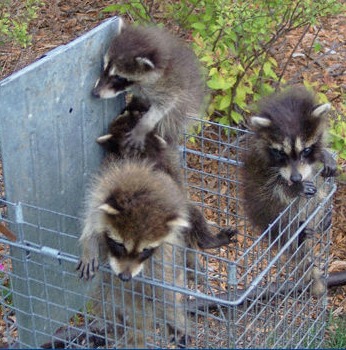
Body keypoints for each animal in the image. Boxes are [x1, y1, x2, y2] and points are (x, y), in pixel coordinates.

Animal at [91, 18, 205, 149]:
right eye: (104, 67)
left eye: (119, 77)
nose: (95, 93)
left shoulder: (170, 86)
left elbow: (163, 106)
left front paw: (143, 126)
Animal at [242, 85, 336, 296]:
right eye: (280, 153)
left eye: (306, 150)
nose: (295, 179)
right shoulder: (259, 167)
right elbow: (271, 189)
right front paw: (292, 189)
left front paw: (324, 155)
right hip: (269, 216)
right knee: (283, 219)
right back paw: (297, 235)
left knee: (319, 189)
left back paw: (321, 221)